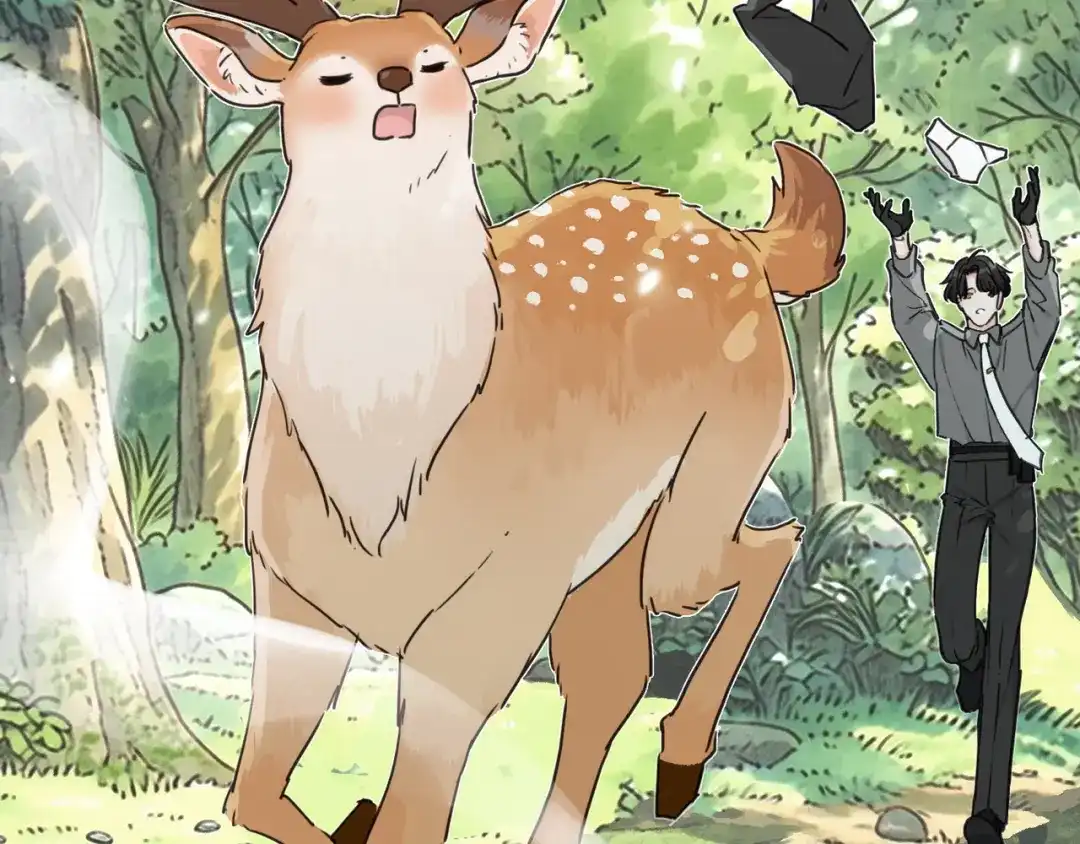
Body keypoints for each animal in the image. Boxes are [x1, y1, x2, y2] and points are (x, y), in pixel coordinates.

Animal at [163, 0, 847, 840]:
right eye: (328, 74)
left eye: (441, 64)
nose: (398, 76)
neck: (382, 492)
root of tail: (748, 244)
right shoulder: (290, 583)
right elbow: (252, 790)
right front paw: (349, 811)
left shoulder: (501, 595)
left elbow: (413, 814)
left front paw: (368, 810)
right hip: (612, 539)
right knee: (612, 671)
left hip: (711, 477)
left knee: (768, 546)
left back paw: (681, 762)